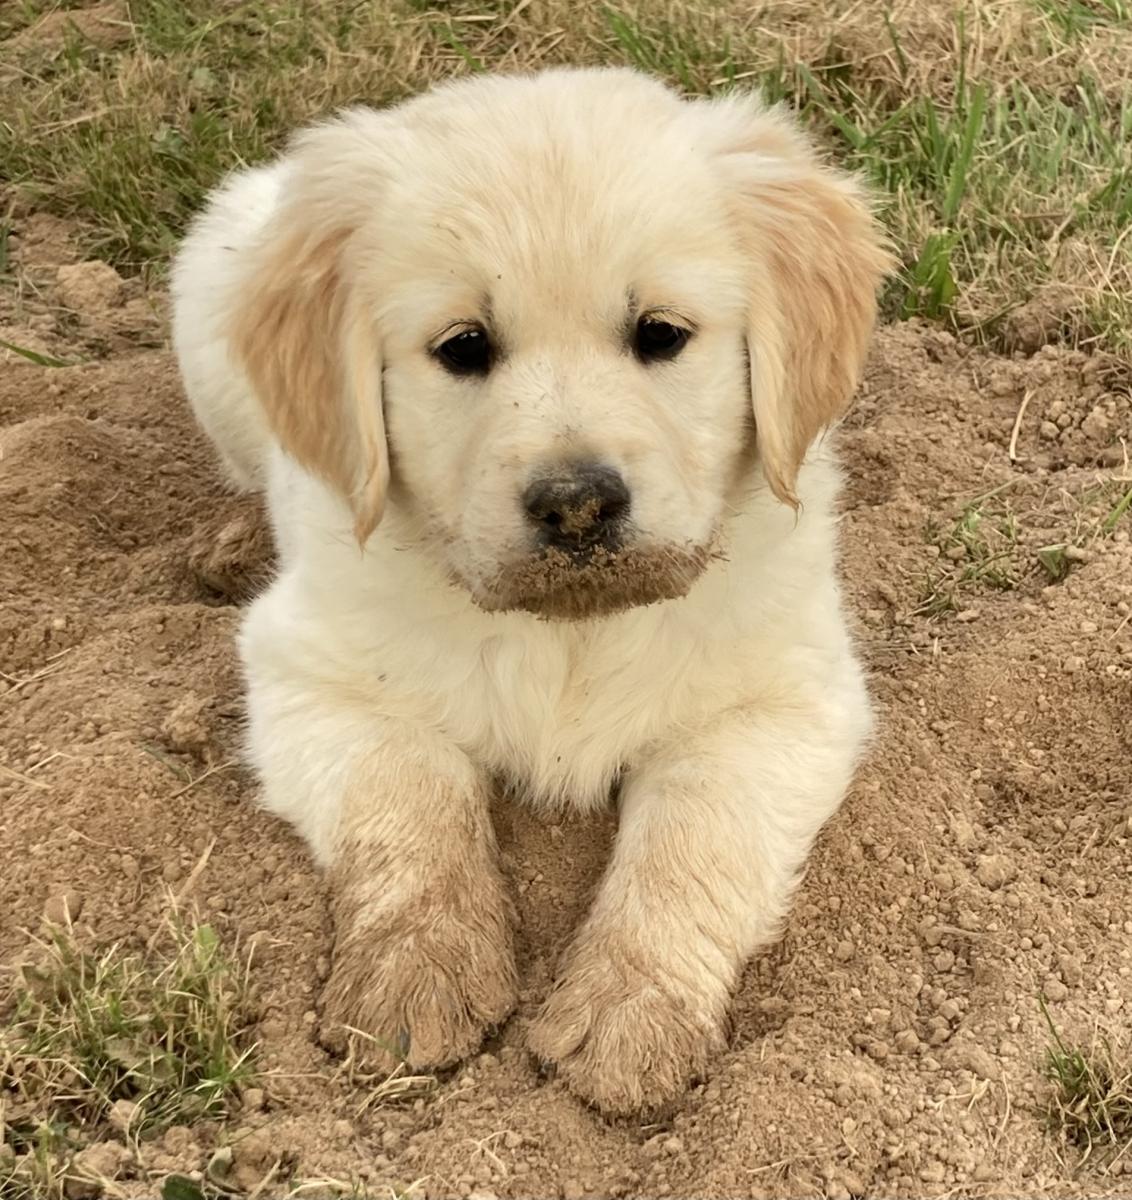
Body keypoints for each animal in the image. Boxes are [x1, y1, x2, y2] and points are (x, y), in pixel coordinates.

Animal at [170, 65, 893, 1113]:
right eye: (463, 347)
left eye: (661, 334)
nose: (578, 505)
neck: (569, 630)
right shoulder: (310, 673)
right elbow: (409, 806)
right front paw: (415, 977)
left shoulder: (782, 703)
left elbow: (692, 846)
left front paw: (630, 1011)